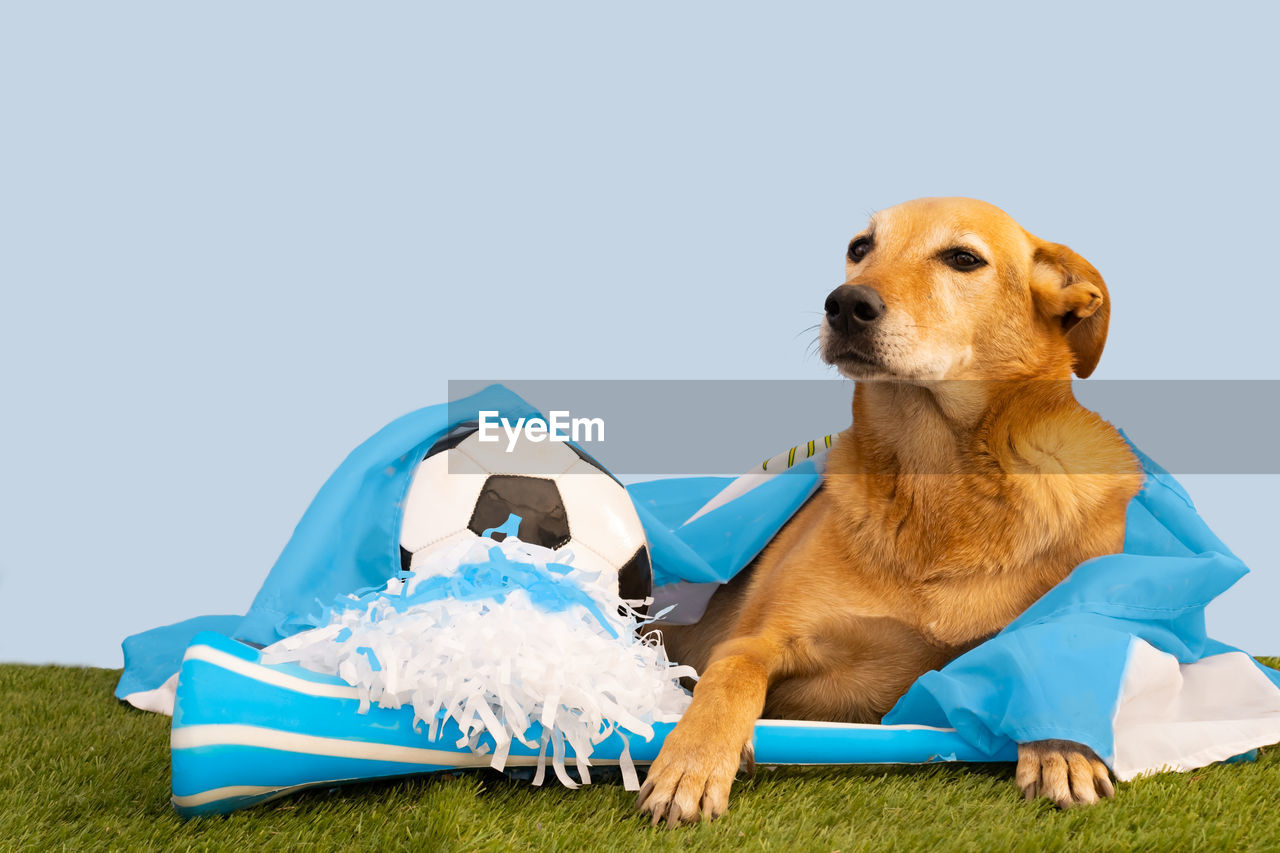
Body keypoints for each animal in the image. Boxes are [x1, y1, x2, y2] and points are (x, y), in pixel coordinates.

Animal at [637, 195, 1141, 819]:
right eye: (860, 247)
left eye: (963, 258)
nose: (845, 304)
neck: (938, 479)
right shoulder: (756, 642)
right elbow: (729, 679)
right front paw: (692, 760)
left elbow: (1053, 656)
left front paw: (1062, 748)